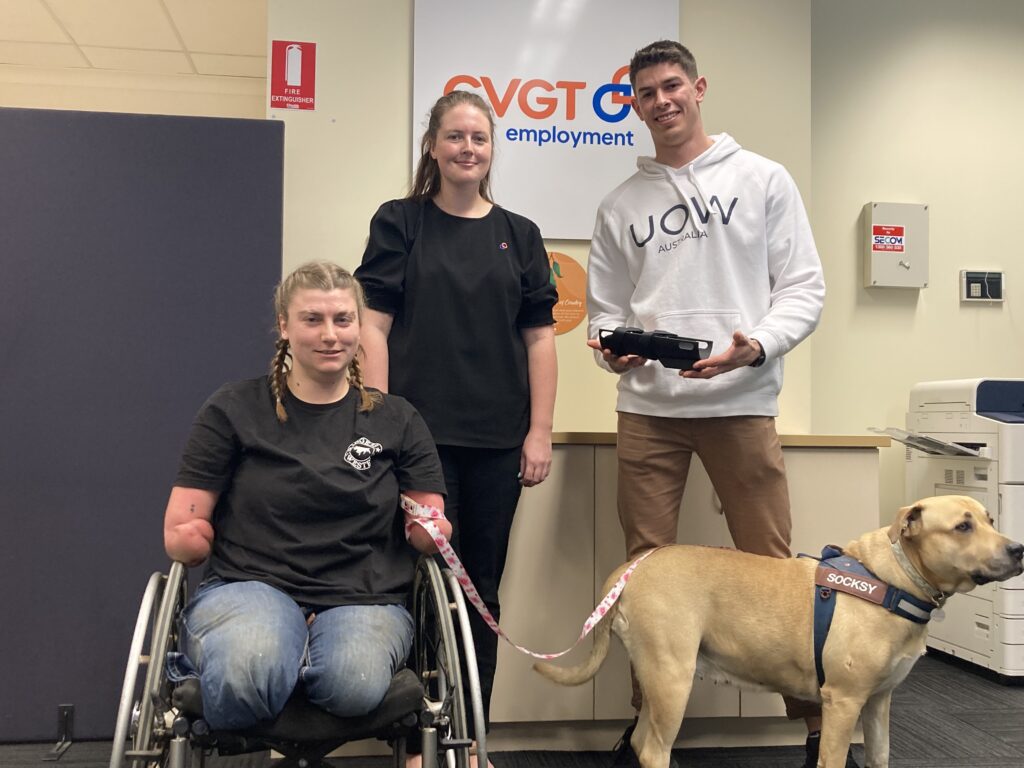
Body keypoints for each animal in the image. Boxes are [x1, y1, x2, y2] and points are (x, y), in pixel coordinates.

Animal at [536, 499, 1024, 768]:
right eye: (962, 526)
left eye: (990, 518)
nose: (1019, 548)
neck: (894, 580)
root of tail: (635, 566)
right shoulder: (843, 703)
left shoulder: (878, 702)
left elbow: (880, 755)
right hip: (672, 677)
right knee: (653, 749)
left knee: (641, 741)